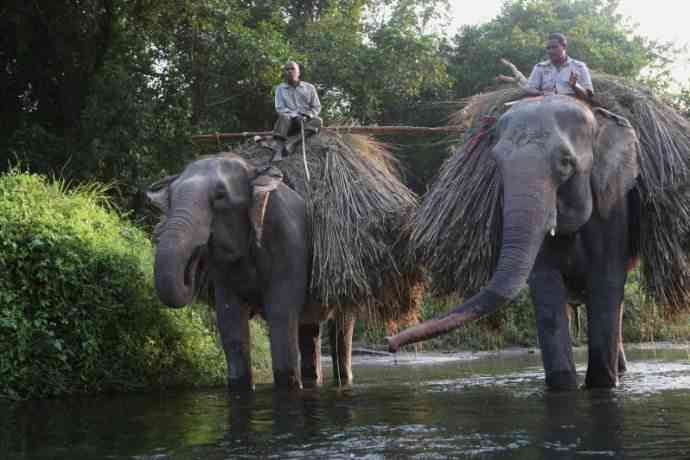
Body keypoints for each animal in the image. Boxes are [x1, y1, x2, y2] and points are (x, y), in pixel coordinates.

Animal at [148, 155, 360, 392]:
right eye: (170, 198)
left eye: (220, 196)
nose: (195, 261)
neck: (252, 170)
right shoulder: (224, 269)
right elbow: (230, 321)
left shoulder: (289, 243)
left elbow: (281, 314)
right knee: (309, 330)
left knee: (342, 330)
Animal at [388, 96, 640, 388]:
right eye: (496, 163)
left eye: (566, 162)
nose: (389, 342)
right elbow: (545, 286)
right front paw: (564, 386)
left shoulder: (613, 205)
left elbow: (607, 279)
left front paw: (602, 384)